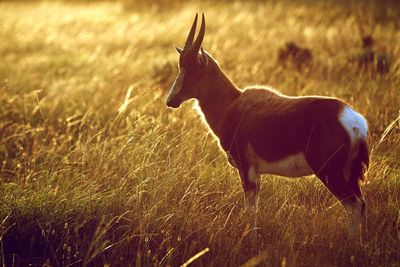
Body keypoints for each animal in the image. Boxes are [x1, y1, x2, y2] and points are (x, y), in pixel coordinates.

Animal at [165, 13, 368, 240]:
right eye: (181, 65)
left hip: (329, 172)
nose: (171, 100)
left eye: (193, 68)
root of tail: (354, 121)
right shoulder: (257, 173)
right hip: (347, 174)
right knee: (360, 204)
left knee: (354, 205)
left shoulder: (247, 170)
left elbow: (250, 210)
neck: (233, 104)